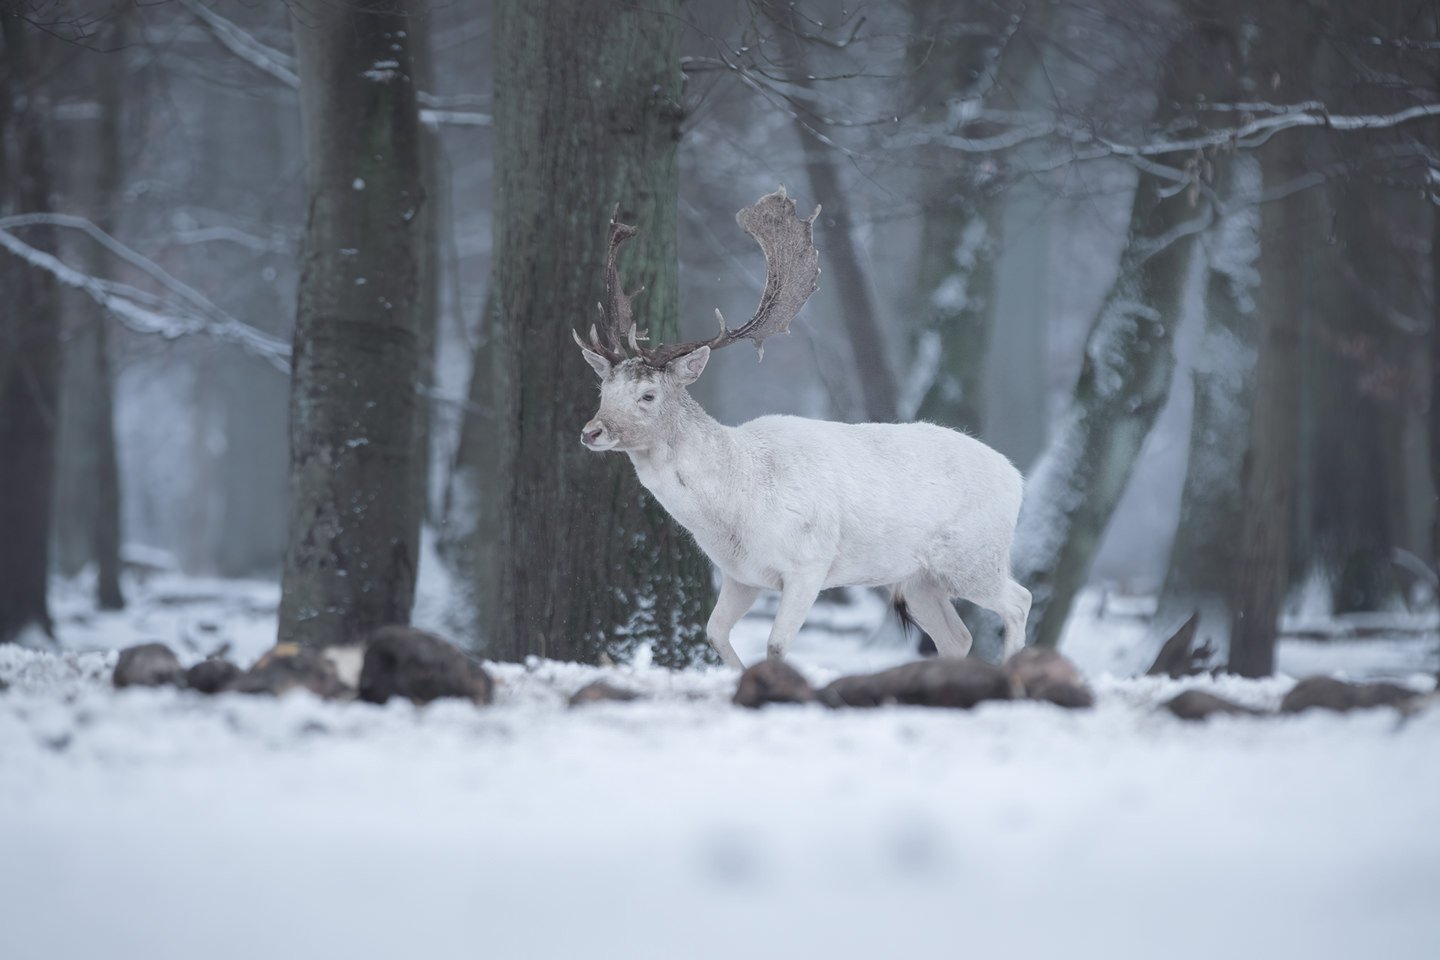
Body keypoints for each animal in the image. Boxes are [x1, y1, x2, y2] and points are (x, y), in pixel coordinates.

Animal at [573, 188, 1031, 668]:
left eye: (648, 395)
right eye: (604, 389)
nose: (592, 432)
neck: (734, 512)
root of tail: (1016, 477)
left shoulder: (810, 564)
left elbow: (775, 645)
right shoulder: (740, 576)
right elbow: (714, 633)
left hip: (975, 557)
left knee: (1019, 601)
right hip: (919, 577)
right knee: (958, 636)